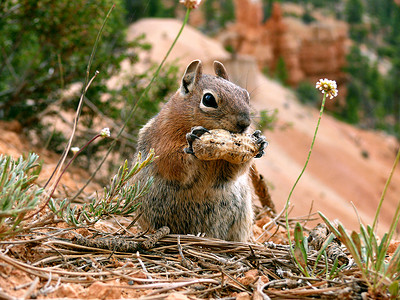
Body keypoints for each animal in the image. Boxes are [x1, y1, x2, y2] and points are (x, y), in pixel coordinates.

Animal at [133, 60, 268, 241]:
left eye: (246, 94)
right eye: (209, 99)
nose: (245, 123)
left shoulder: (224, 170)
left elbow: (232, 171)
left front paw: (259, 141)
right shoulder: (162, 143)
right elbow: (172, 163)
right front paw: (192, 140)